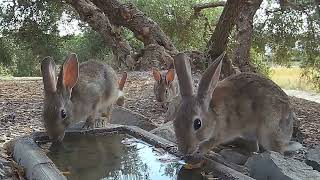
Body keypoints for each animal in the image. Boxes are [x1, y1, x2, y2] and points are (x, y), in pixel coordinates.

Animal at [171, 52, 302, 162]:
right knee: (255, 147)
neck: (213, 115)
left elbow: (209, 144)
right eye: (175, 122)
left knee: (276, 152)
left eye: (197, 124)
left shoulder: (221, 133)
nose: (184, 150)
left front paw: (199, 153)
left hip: (268, 132)